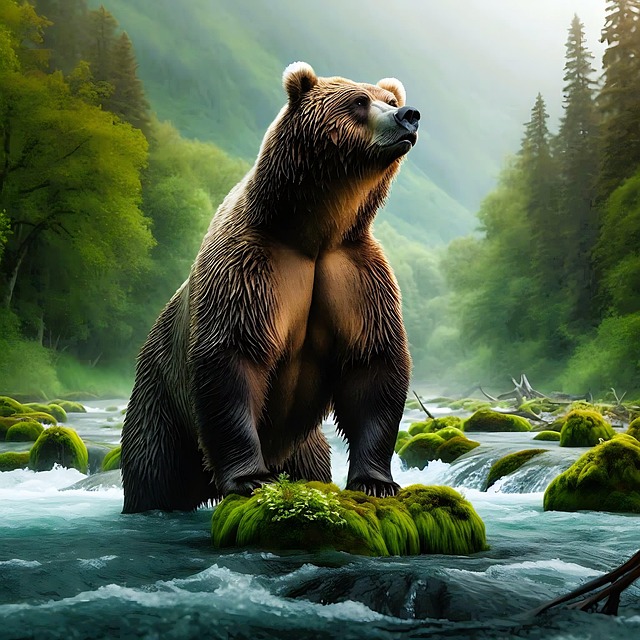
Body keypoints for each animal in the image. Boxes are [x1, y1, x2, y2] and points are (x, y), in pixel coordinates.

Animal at [120, 62, 420, 513]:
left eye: (390, 100)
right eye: (358, 102)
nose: (408, 116)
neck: (313, 231)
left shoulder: (355, 274)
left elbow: (372, 364)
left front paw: (375, 482)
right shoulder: (250, 267)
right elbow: (232, 356)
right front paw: (250, 477)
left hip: (303, 446)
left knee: (311, 462)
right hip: (162, 399)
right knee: (154, 466)